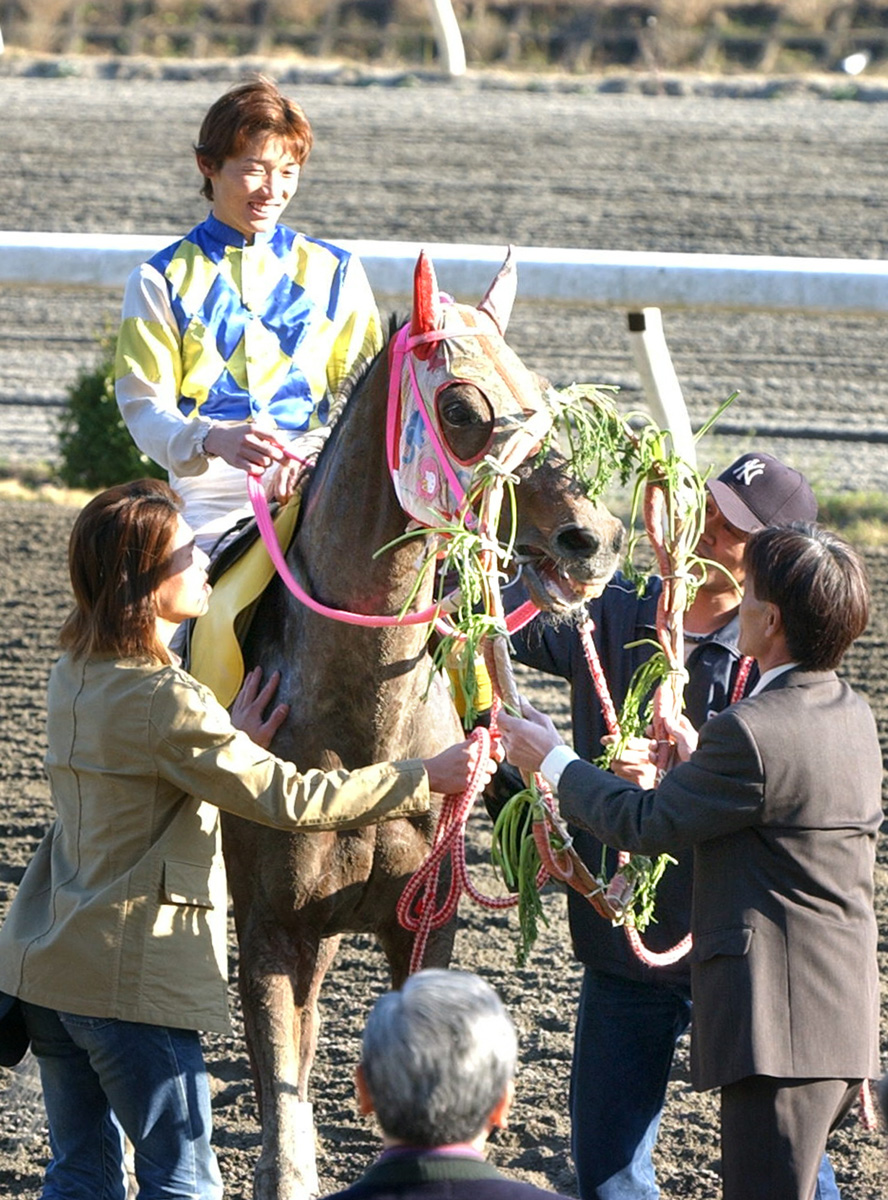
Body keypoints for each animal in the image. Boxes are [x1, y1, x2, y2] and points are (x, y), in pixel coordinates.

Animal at [220, 249, 625, 1200]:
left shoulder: (422, 922)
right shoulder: (269, 929)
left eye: (539, 393)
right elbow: (284, 1124)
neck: (361, 731)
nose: (593, 538)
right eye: (463, 409)